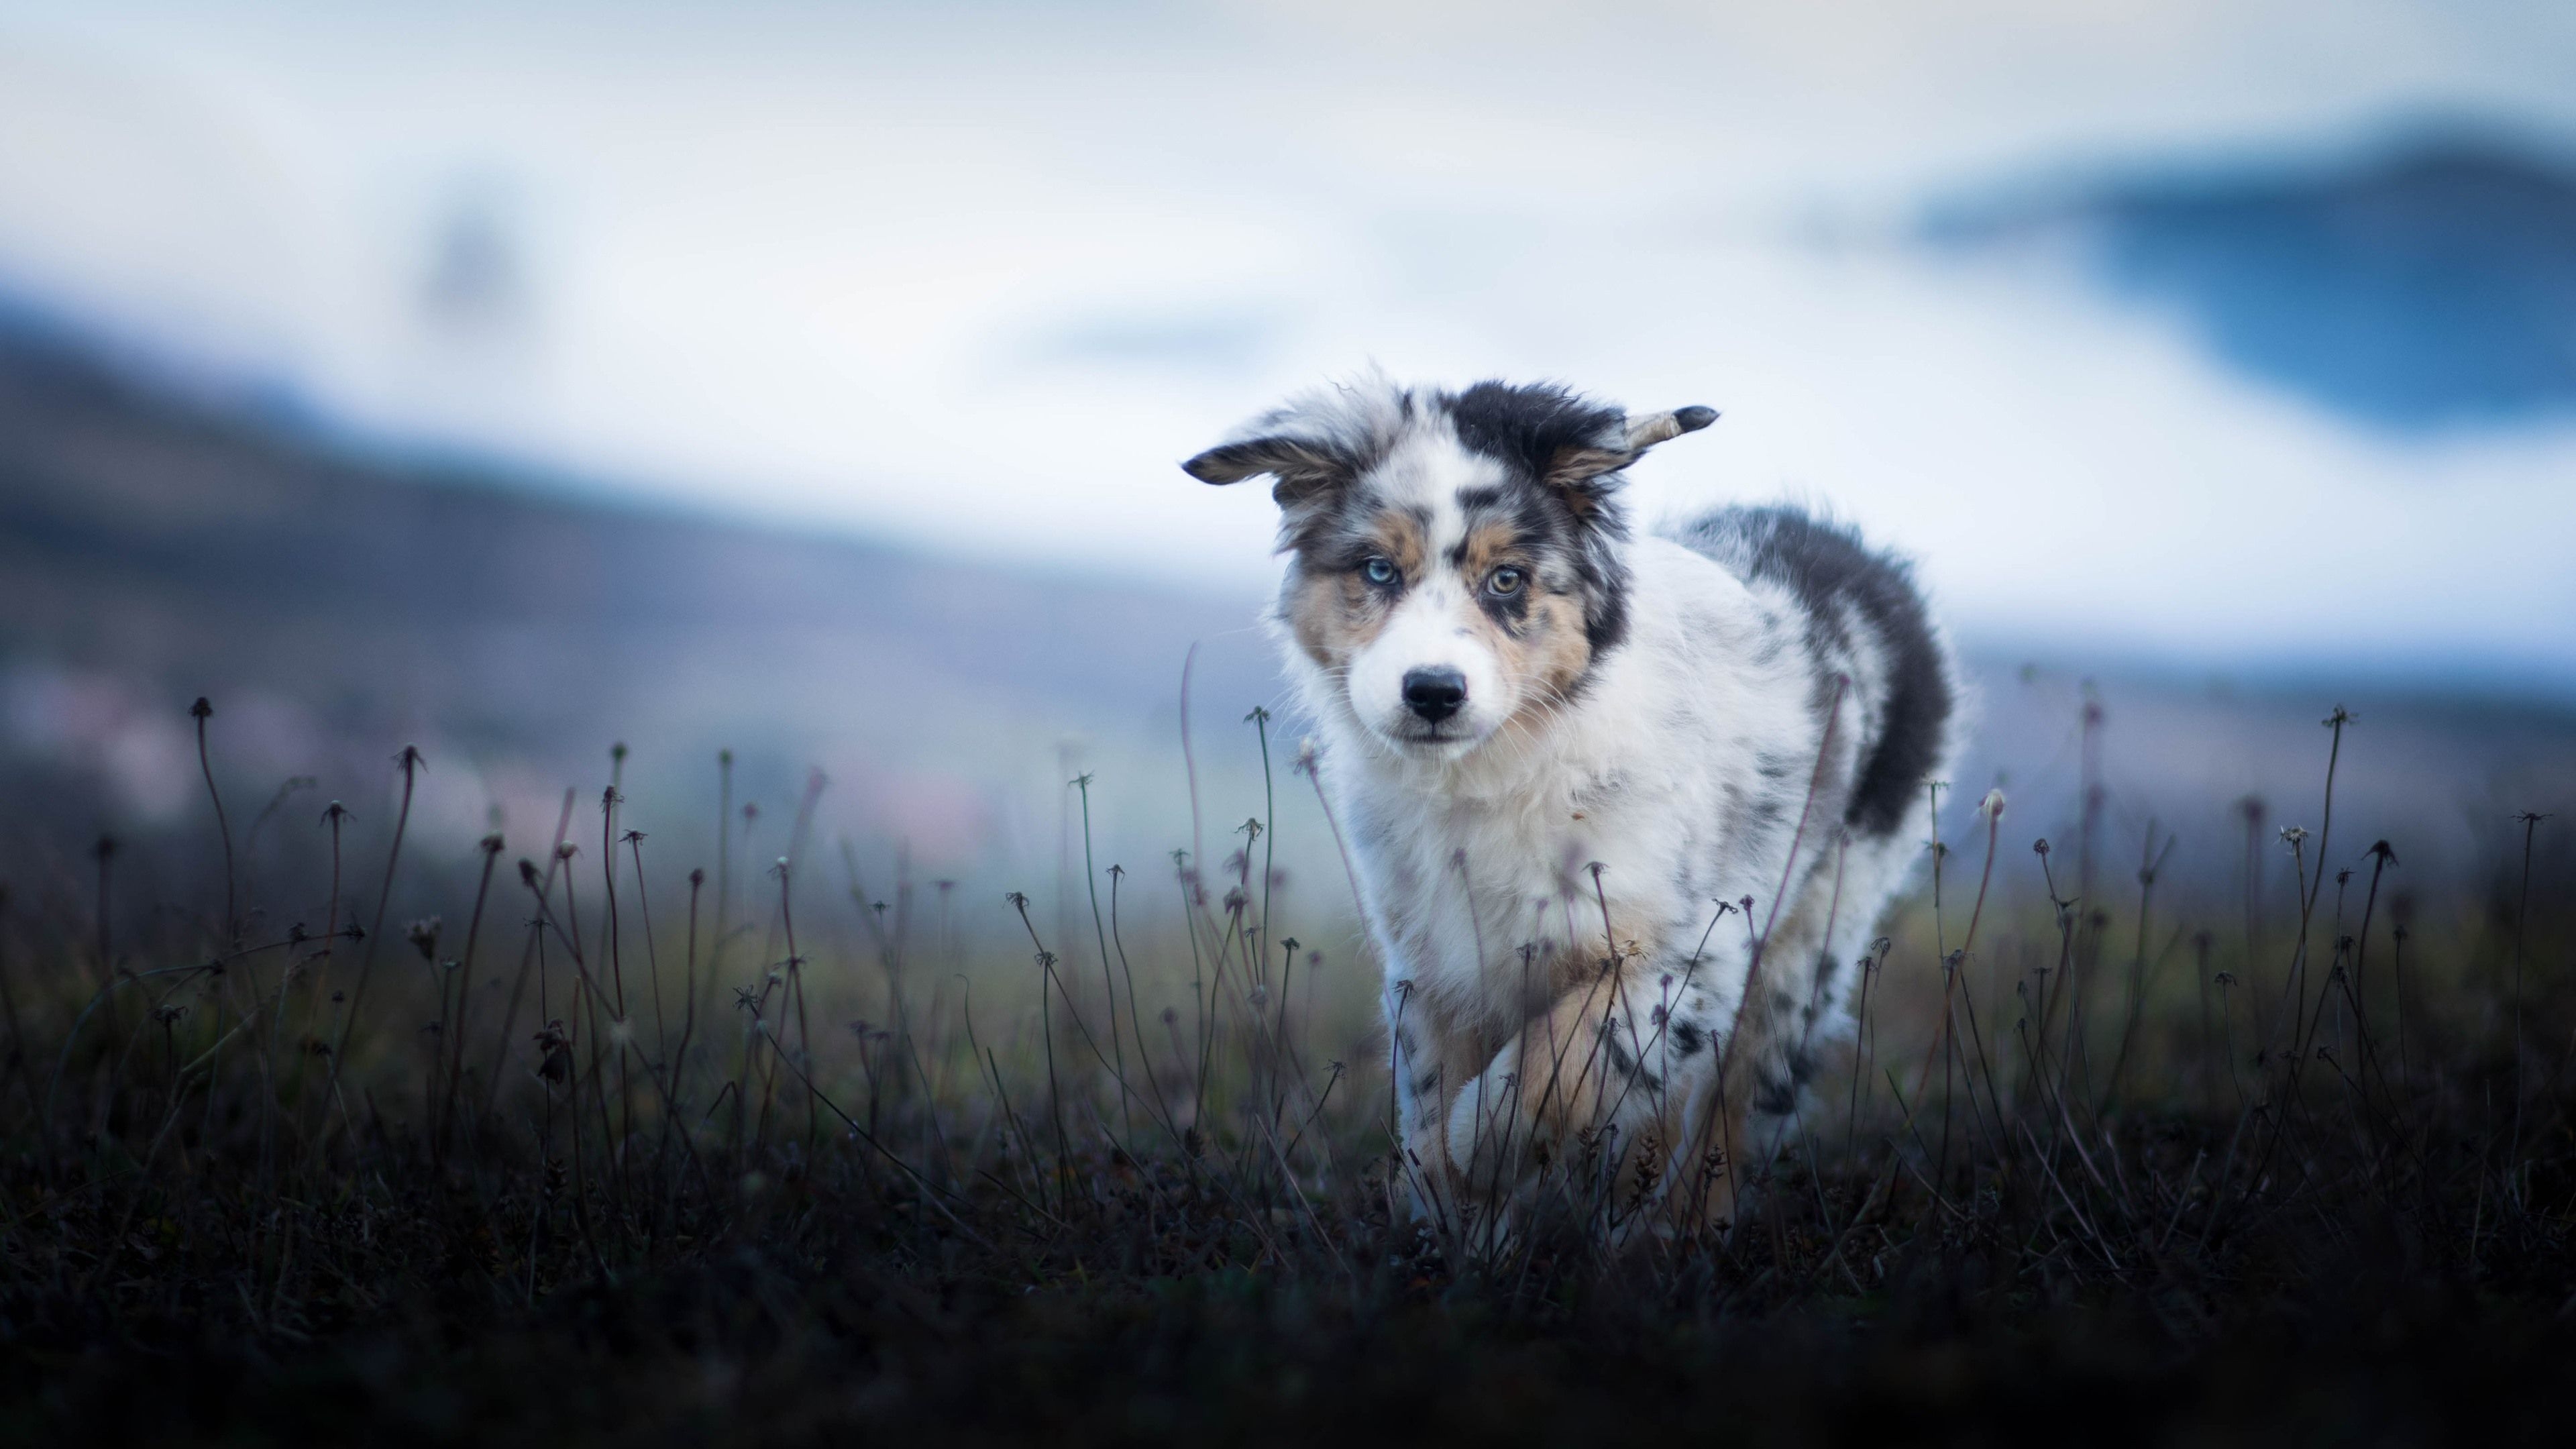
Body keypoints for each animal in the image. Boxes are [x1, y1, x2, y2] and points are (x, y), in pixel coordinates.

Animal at [1185, 374, 1947, 1227]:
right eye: (1378, 571)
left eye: (1507, 580)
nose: (1433, 693)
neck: (1501, 768)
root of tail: (1862, 560)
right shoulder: (1434, 960)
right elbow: (1432, 1091)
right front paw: (1452, 1219)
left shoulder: (1689, 950)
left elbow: (1561, 1063)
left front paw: (1478, 1149)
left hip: (1814, 938)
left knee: (1736, 1111)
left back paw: (1677, 1233)